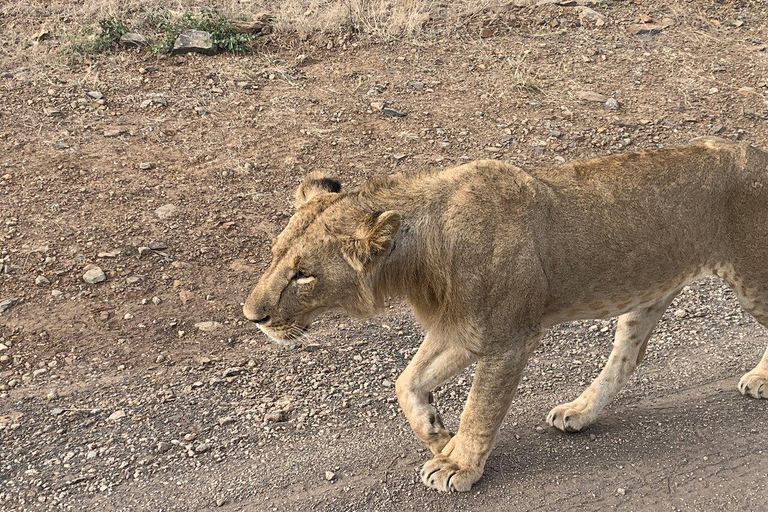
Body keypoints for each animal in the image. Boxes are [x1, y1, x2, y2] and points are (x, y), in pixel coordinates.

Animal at [243, 138, 768, 494]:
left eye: (303, 275)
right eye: (274, 255)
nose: (252, 317)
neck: (419, 258)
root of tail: (756, 149)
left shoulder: (510, 338)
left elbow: (480, 407)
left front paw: (457, 465)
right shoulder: (458, 329)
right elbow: (406, 381)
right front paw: (437, 434)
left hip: (752, 278)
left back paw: (760, 379)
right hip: (648, 292)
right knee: (626, 359)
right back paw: (580, 412)